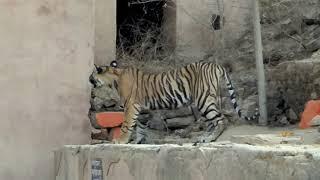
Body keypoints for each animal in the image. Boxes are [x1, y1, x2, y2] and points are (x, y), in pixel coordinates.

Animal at [90, 61, 260, 144]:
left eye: (92, 75)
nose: (88, 80)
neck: (114, 78)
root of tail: (216, 65)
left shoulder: (131, 106)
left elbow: (127, 125)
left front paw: (120, 141)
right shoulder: (143, 109)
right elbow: (140, 126)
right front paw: (138, 141)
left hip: (204, 99)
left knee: (221, 120)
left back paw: (210, 139)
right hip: (210, 99)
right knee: (213, 121)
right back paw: (204, 137)